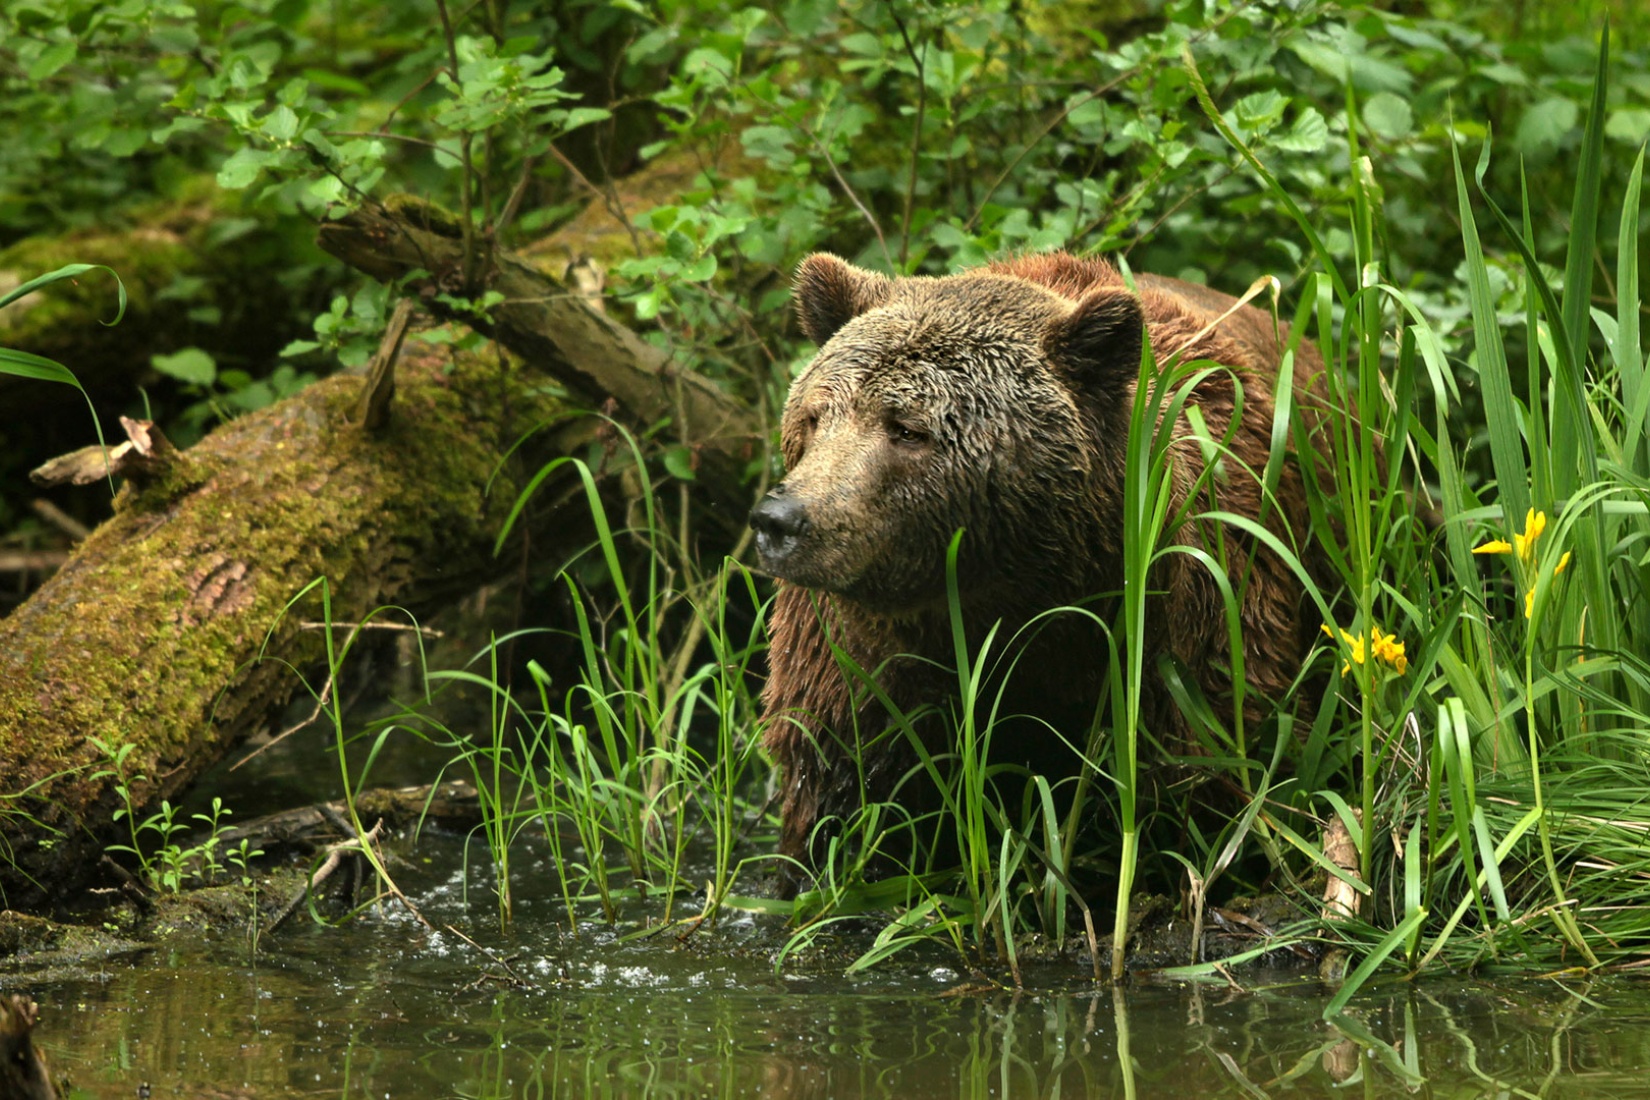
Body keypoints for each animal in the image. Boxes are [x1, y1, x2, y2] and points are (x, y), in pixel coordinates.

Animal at [749, 249, 1326, 883]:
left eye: (907, 429)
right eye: (815, 417)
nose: (782, 520)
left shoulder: (1188, 612)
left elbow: (1207, 759)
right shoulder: (859, 652)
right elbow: (844, 782)